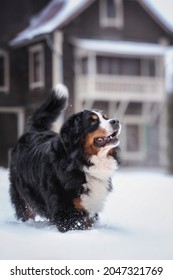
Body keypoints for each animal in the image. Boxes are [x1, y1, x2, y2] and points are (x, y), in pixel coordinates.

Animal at [9, 83, 120, 232]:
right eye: (93, 122)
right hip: (23, 197)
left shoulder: (89, 208)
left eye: (106, 117)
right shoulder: (65, 212)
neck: (82, 161)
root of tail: (33, 130)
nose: (116, 121)